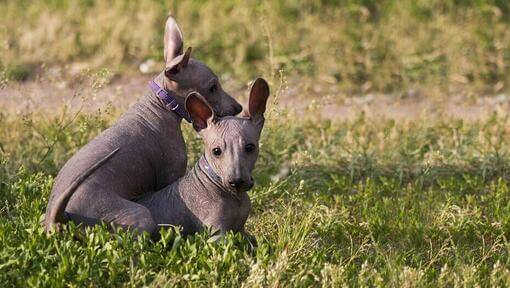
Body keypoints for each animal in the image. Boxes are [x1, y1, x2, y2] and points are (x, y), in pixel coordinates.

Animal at [42, 16, 242, 234]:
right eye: (213, 87)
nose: (239, 107)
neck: (159, 107)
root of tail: (59, 216)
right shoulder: (171, 176)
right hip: (140, 214)